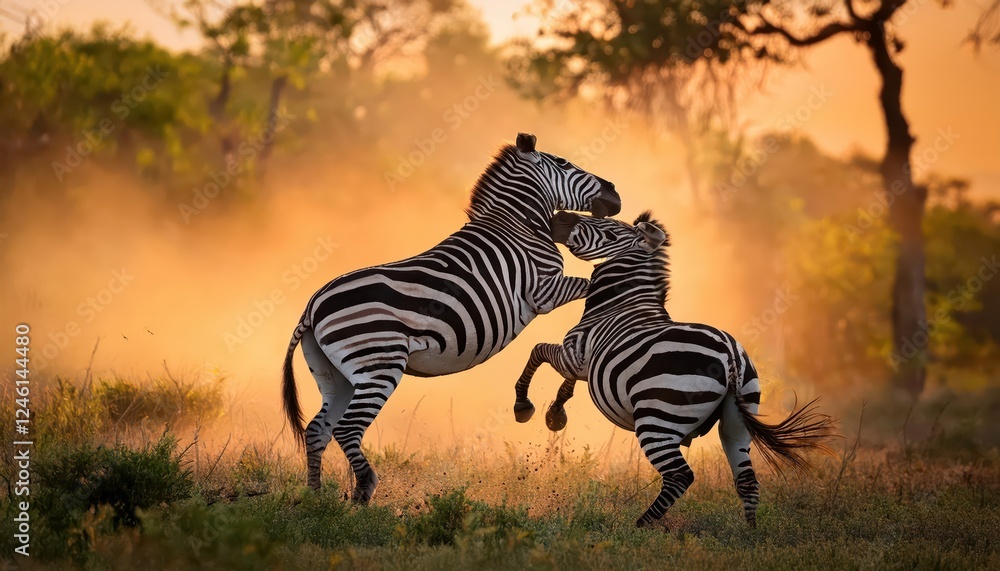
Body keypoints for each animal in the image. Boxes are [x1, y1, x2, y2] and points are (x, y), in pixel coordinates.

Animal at [282, 133, 622, 503]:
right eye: (564, 163)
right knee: (346, 429)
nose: (614, 191)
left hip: (336, 374)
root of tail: (313, 307)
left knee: (318, 429)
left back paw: (316, 500)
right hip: (378, 364)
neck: (518, 225)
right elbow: (590, 288)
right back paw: (362, 492)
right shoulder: (544, 290)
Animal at [513, 210, 835, 528]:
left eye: (611, 232)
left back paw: (640, 527)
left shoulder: (575, 353)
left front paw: (524, 404)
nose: (559, 217)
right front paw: (556, 414)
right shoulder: (581, 363)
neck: (620, 302)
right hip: (737, 421)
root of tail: (730, 354)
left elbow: (538, 351)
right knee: (746, 480)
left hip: (657, 421)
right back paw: (750, 534)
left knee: (680, 476)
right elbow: (566, 381)